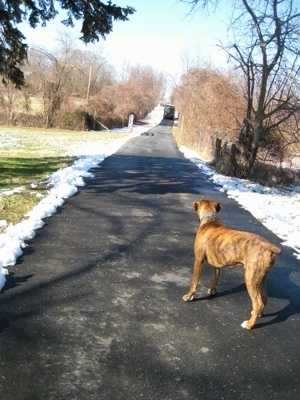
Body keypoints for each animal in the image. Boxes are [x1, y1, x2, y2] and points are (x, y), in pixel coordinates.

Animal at [183, 199, 282, 328]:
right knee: (264, 298)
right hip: (261, 279)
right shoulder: (217, 266)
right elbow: (215, 278)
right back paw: (258, 314)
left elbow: (194, 282)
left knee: (258, 303)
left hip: (250, 278)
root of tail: (269, 247)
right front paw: (212, 291)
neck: (210, 219)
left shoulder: (198, 260)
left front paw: (189, 296)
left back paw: (249, 324)